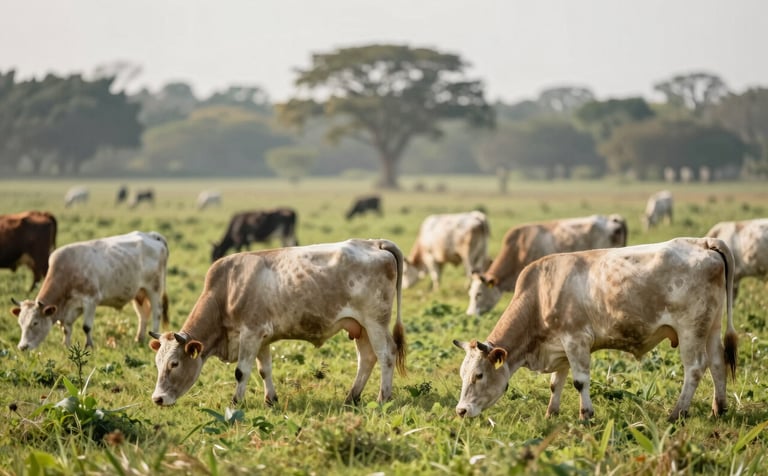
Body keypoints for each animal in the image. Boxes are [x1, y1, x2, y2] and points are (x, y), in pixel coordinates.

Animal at [11, 231, 170, 350]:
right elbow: (66, 328)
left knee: (156, 313)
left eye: (35, 323)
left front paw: (89, 345)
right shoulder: (70, 308)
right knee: (142, 315)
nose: (22, 347)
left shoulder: (91, 300)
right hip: (138, 292)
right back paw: (139, 338)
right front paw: (65, 345)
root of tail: (151, 235)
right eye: (20, 323)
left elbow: (86, 327)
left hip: (154, 289)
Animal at [149, 238, 407, 407]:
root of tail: (374, 243)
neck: (226, 290)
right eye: (157, 363)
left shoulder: (251, 333)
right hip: (359, 326)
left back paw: (383, 398)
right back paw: (352, 397)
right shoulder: (262, 338)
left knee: (386, 354)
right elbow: (265, 370)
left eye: (174, 364)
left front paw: (236, 402)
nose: (157, 399)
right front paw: (270, 399)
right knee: (367, 358)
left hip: (375, 322)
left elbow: (241, 371)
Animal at [454, 237, 737, 422]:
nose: (461, 410)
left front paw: (586, 416)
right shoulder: (560, 346)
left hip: (691, 330)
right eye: (462, 374)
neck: (540, 294)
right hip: (711, 326)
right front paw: (551, 413)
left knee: (695, 368)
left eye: (479, 375)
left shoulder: (576, 339)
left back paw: (676, 413)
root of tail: (703, 242)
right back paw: (719, 409)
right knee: (717, 362)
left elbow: (579, 381)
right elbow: (556, 383)